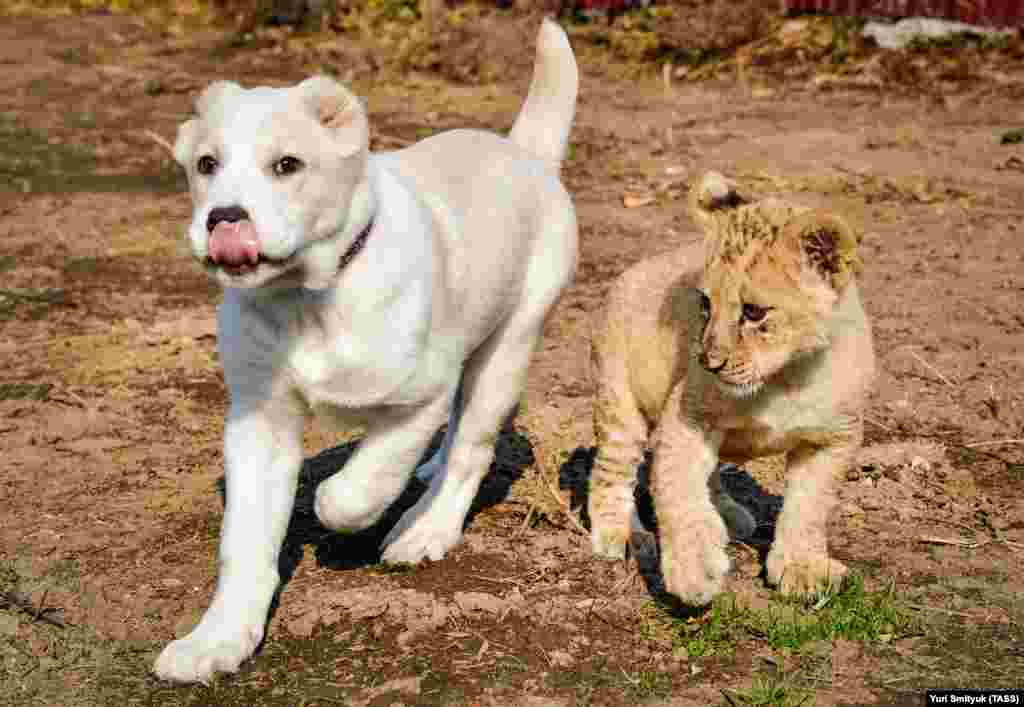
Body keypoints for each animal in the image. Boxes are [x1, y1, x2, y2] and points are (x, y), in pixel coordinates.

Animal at [155, 19, 581, 680]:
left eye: (287, 165)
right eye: (206, 164)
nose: (223, 219)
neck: (308, 299)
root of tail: (526, 155)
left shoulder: (418, 397)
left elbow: (358, 485)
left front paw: (343, 506)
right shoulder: (258, 422)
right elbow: (244, 543)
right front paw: (218, 640)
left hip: (508, 348)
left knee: (472, 447)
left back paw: (425, 530)